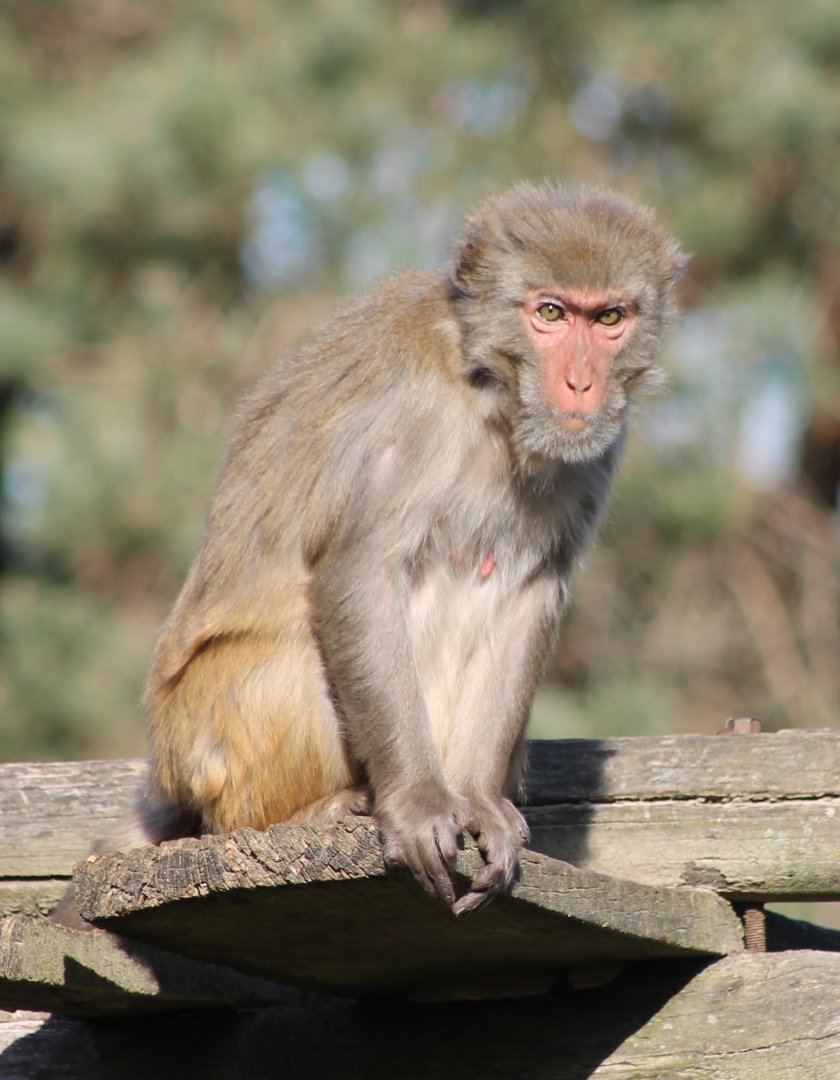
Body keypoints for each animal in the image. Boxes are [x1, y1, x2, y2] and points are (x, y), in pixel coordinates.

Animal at [72, 183, 686, 921]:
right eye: (550, 313)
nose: (580, 385)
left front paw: (478, 802)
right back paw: (314, 810)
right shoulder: (407, 420)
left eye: (610, 318)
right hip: (209, 742)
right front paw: (419, 802)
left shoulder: (595, 453)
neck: (488, 389)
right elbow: (360, 575)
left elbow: (529, 591)